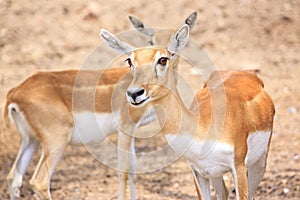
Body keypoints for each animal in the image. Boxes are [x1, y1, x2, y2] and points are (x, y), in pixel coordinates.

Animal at [3, 13, 198, 199]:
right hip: (55, 140)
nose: (170, 57)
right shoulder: (125, 128)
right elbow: (123, 171)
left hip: (30, 140)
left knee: (14, 177)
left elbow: (133, 169)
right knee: (39, 182)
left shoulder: (132, 131)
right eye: (151, 42)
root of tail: (15, 91)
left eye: (173, 47)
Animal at [100, 24, 274, 199]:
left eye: (163, 59)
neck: (201, 127)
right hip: (215, 174)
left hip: (259, 162)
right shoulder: (198, 171)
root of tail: (249, 73)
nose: (134, 93)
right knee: (223, 192)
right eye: (129, 60)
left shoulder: (237, 166)